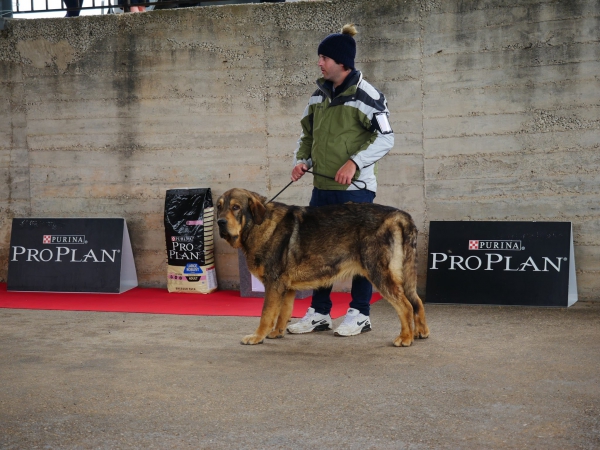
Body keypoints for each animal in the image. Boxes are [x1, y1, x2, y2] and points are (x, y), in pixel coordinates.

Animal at [218, 188, 428, 346]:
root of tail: (399, 216)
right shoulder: (286, 287)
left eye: (236, 207)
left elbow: (266, 314)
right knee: (417, 302)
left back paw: (405, 338)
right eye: (219, 207)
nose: (220, 222)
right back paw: (420, 332)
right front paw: (277, 332)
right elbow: (283, 312)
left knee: (405, 306)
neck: (257, 223)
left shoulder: (273, 283)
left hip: (378, 273)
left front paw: (257, 336)